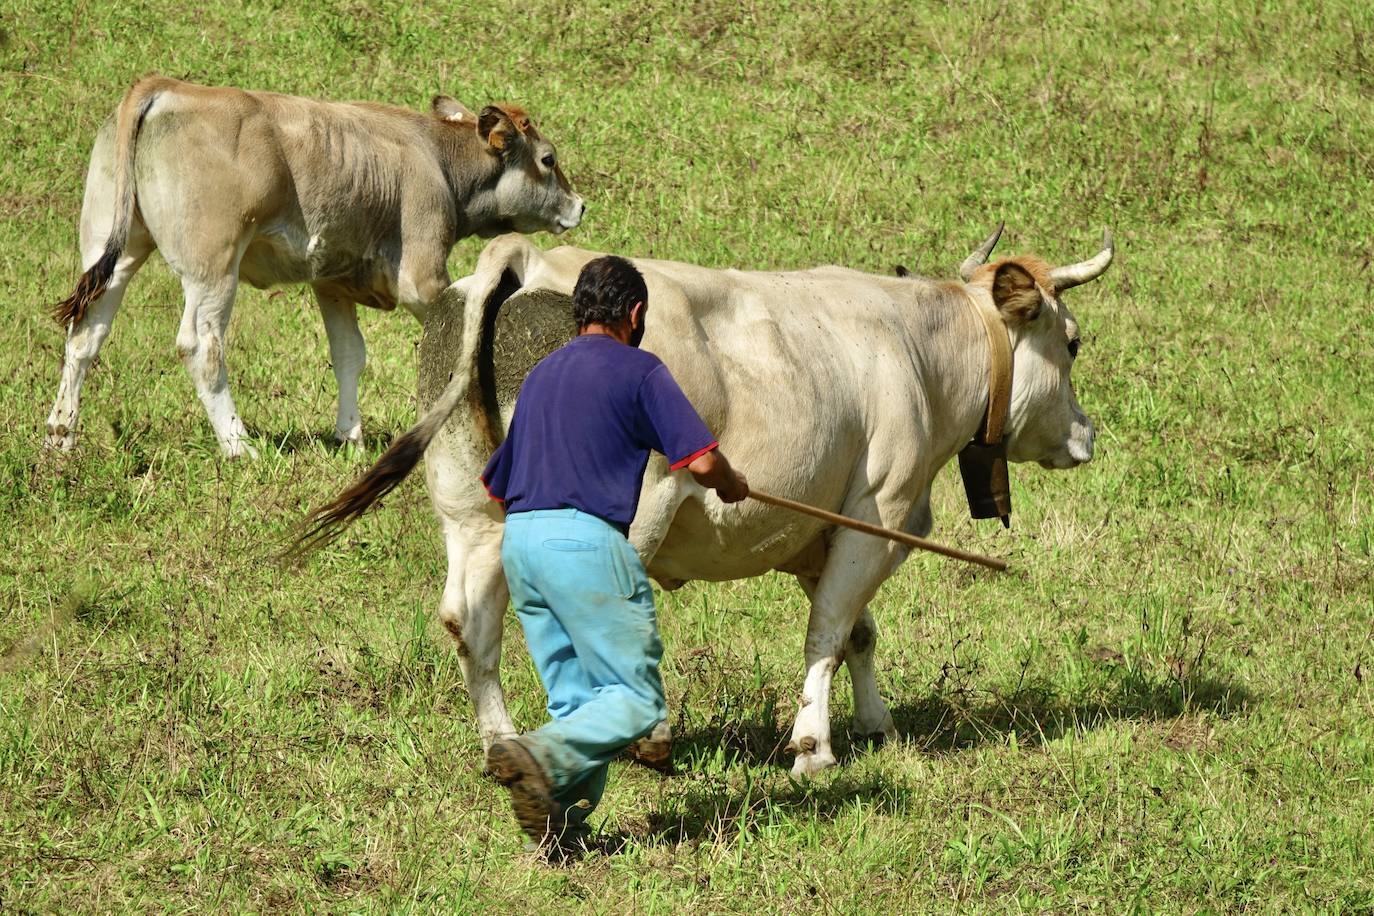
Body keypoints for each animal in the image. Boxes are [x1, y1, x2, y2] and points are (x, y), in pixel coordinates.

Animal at [48, 76, 582, 458]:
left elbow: (349, 355)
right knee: (201, 346)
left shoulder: (334, 280)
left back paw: (60, 436)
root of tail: (169, 86)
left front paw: (351, 437)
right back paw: (240, 446)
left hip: (111, 247)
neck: (437, 159)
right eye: (548, 159)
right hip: (212, 267)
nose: (579, 206)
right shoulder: (422, 275)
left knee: (85, 335)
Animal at [298, 225, 1104, 780]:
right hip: (629, 510)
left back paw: (501, 744)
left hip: (470, 509)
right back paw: (639, 740)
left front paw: (876, 725)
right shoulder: (879, 509)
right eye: (1072, 341)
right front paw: (813, 749)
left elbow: (858, 633)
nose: (1086, 435)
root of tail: (532, 258)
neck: (918, 350)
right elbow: (828, 631)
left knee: (470, 621)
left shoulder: (814, 527)